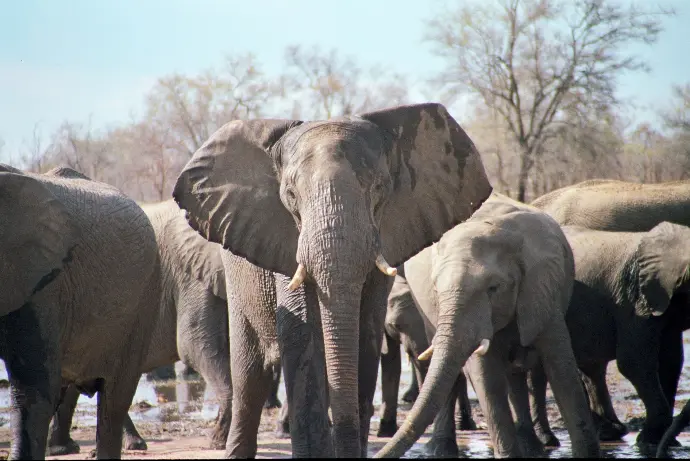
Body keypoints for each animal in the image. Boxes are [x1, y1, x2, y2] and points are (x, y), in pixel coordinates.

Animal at [374, 192, 600, 458]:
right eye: (437, 290)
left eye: (493, 288)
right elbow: (487, 377)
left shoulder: (543, 292)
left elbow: (562, 370)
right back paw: (441, 450)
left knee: (515, 373)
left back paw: (532, 447)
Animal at [529, 178, 690, 446]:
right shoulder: (635, 298)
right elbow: (634, 361)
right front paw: (648, 440)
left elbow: (669, 360)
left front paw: (661, 441)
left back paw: (607, 432)